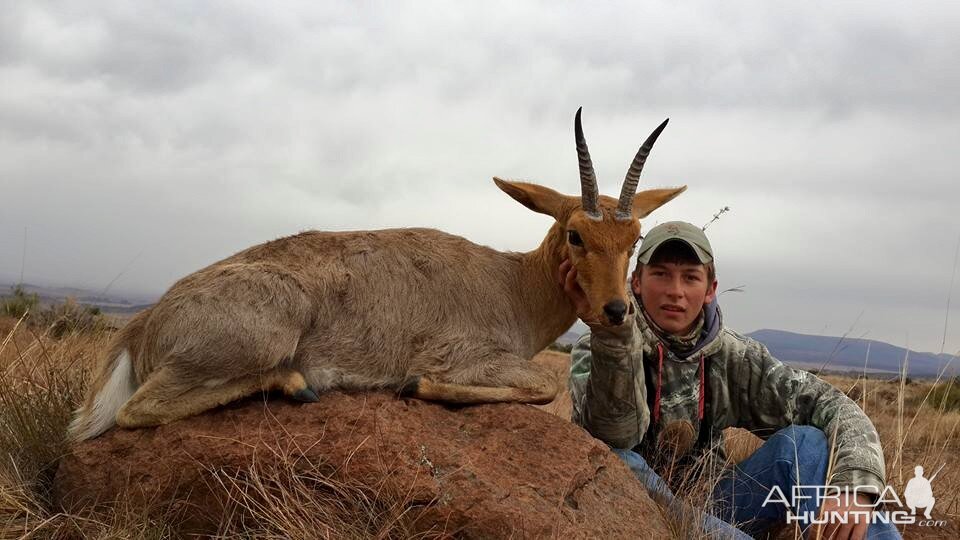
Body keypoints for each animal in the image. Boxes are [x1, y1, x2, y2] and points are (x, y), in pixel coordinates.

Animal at [67, 109, 684, 442]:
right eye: (576, 233)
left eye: (634, 239)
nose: (615, 310)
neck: (512, 283)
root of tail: (144, 321)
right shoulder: (467, 356)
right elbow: (539, 385)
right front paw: (415, 385)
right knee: (136, 410)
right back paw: (297, 381)